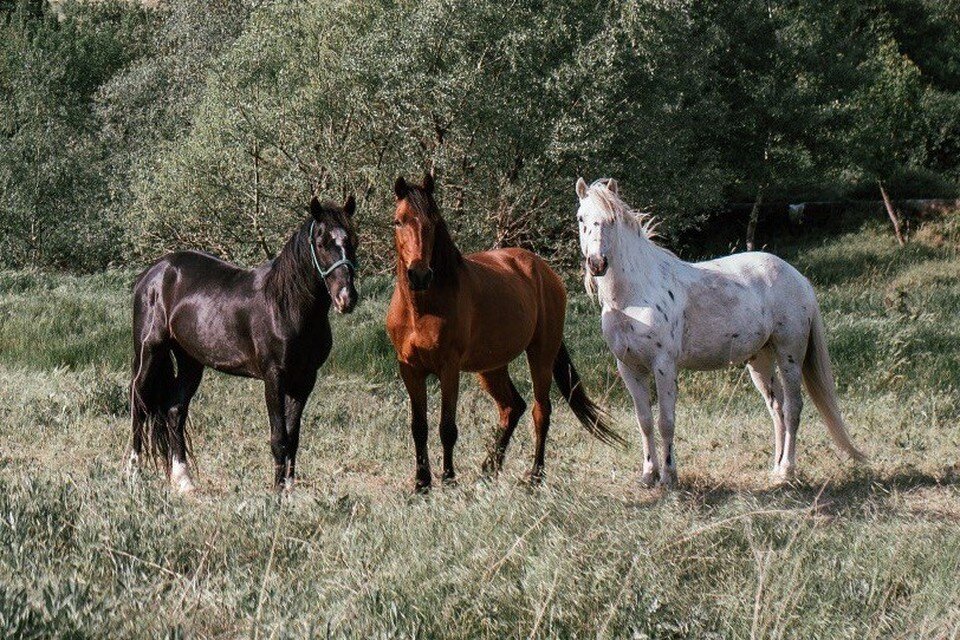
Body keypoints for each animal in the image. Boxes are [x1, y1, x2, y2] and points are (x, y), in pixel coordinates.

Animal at [129, 194, 358, 490]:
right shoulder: (274, 377)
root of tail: (152, 273)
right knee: (139, 402)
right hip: (149, 351)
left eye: (352, 241)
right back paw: (132, 474)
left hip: (191, 361)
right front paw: (277, 493)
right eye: (321, 243)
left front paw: (290, 491)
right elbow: (279, 439)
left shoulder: (305, 380)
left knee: (174, 410)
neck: (285, 306)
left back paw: (184, 482)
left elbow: (293, 439)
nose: (346, 298)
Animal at [386, 172, 628, 492]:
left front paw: (448, 479)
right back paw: (490, 467)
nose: (419, 274)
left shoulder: (448, 369)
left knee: (540, 411)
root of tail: (543, 271)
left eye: (433, 221)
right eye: (398, 221)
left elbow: (447, 427)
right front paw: (421, 483)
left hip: (541, 354)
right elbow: (419, 428)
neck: (421, 309)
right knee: (512, 406)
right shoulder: (410, 369)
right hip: (492, 366)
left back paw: (534, 476)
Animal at [576, 178, 872, 488]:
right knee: (776, 410)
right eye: (582, 218)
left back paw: (786, 471)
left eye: (611, 220)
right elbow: (644, 421)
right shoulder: (629, 367)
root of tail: (799, 278)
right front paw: (648, 475)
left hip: (789, 354)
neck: (634, 296)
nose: (597, 263)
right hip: (760, 360)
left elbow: (665, 421)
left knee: (792, 408)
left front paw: (669, 477)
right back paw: (775, 469)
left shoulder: (663, 366)